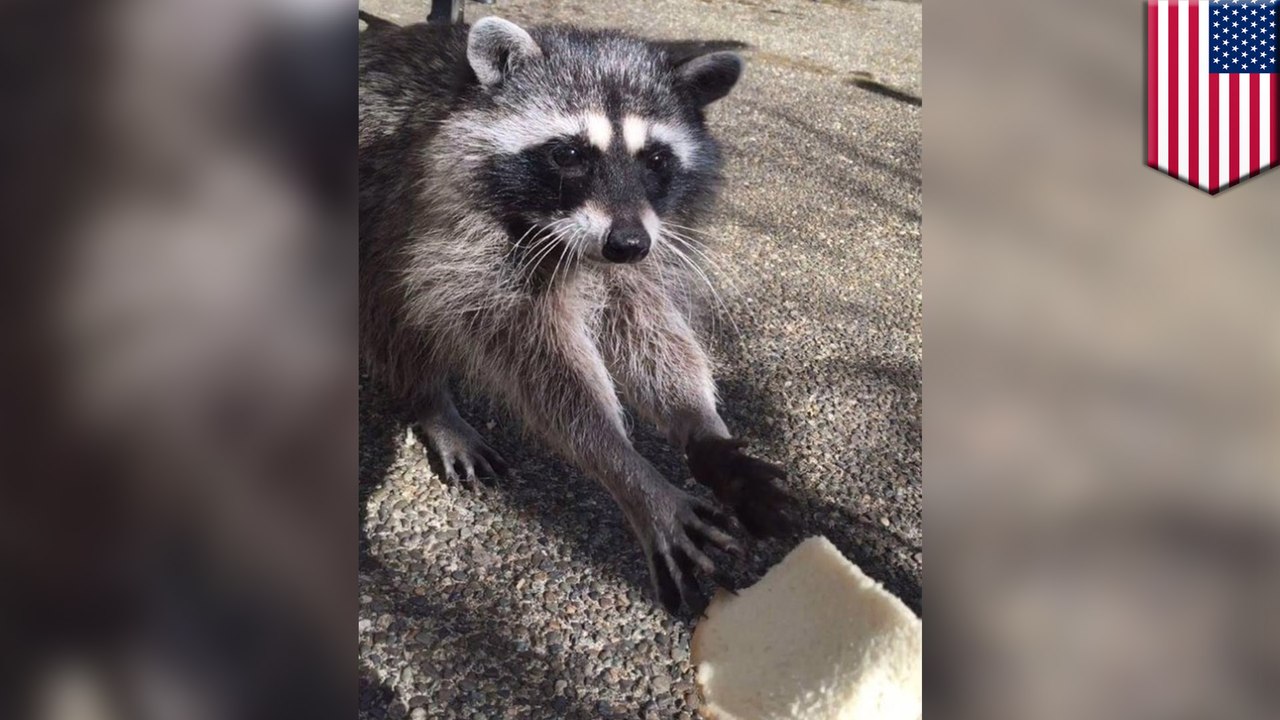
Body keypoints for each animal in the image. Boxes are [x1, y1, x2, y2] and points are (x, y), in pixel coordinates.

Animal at [359, 15, 790, 614]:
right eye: (568, 155)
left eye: (657, 160)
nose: (627, 244)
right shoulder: (453, 241)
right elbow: (548, 375)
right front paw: (627, 470)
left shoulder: (642, 248)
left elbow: (650, 332)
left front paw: (702, 426)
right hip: (379, 232)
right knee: (392, 319)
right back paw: (430, 402)